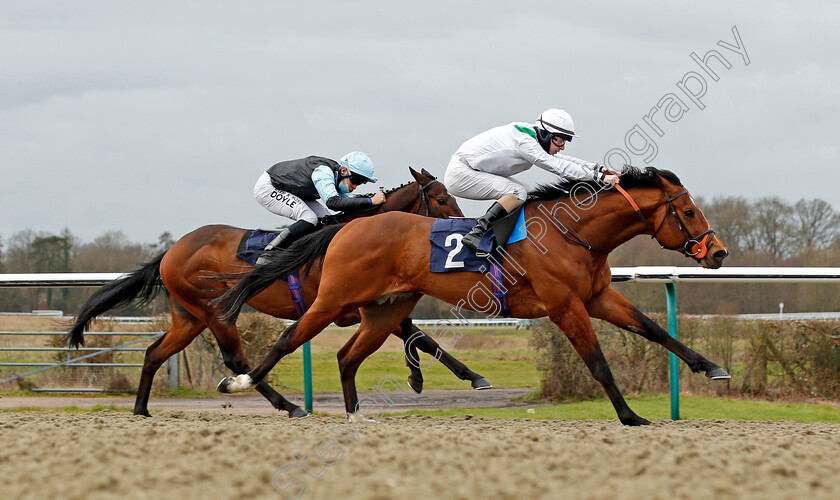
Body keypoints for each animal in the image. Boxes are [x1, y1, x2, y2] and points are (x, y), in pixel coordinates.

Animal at [67, 168, 492, 418]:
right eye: (441, 198)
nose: (465, 227)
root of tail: (171, 252)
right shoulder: (343, 304)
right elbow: (416, 335)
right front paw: (459, 377)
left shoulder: (363, 302)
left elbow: (418, 336)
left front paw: (453, 376)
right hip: (217, 311)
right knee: (235, 359)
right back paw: (289, 406)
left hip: (188, 317)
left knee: (155, 353)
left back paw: (141, 410)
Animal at [215, 167, 728, 426]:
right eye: (687, 211)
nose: (719, 252)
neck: (572, 232)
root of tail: (346, 227)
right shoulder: (565, 306)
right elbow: (597, 361)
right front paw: (630, 416)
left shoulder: (599, 296)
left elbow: (656, 330)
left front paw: (712, 368)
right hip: (333, 301)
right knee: (289, 341)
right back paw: (244, 386)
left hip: (385, 310)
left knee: (346, 356)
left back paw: (356, 416)